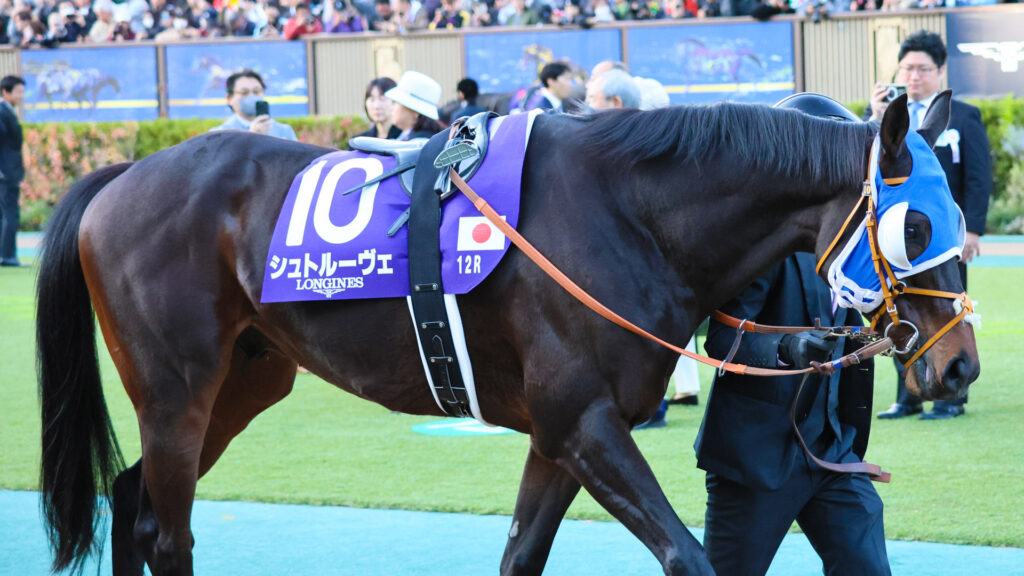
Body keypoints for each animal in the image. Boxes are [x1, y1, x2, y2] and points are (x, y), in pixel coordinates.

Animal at [37, 92, 978, 576]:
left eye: (964, 224)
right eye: (917, 227)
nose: (959, 366)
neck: (624, 211)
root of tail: (125, 173)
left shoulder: (561, 434)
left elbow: (522, 554)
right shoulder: (581, 421)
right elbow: (687, 558)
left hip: (247, 377)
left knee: (133, 500)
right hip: (177, 392)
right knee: (167, 531)